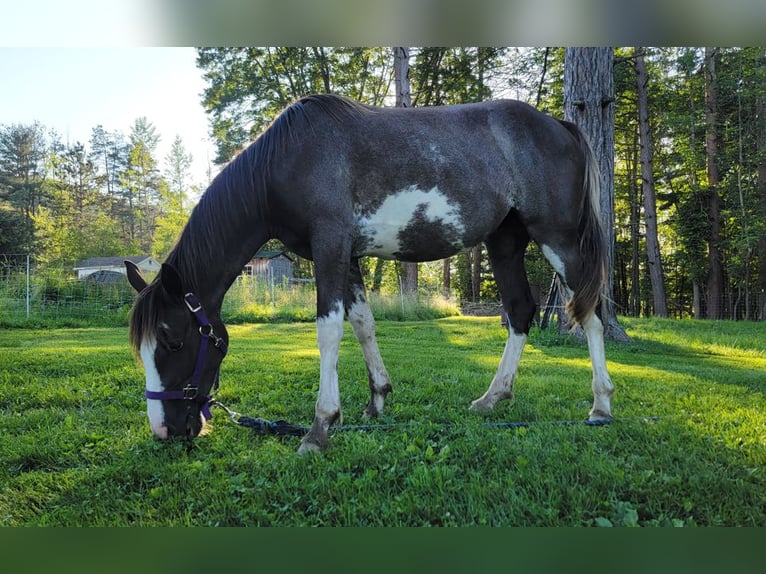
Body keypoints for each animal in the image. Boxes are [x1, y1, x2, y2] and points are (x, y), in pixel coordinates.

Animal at [125, 94, 614, 454]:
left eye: (172, 341)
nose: (165, 430)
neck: (286, 160)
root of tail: (558, 125)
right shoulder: (349, 256)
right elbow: (362, 324)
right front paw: (377, 400)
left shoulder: (330, 245)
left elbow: (329, 331)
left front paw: (319, 428)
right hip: (505, 242)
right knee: (519, 311)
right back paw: (492, 398)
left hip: (556, 238)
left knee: (588, 312)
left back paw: (601, 406)